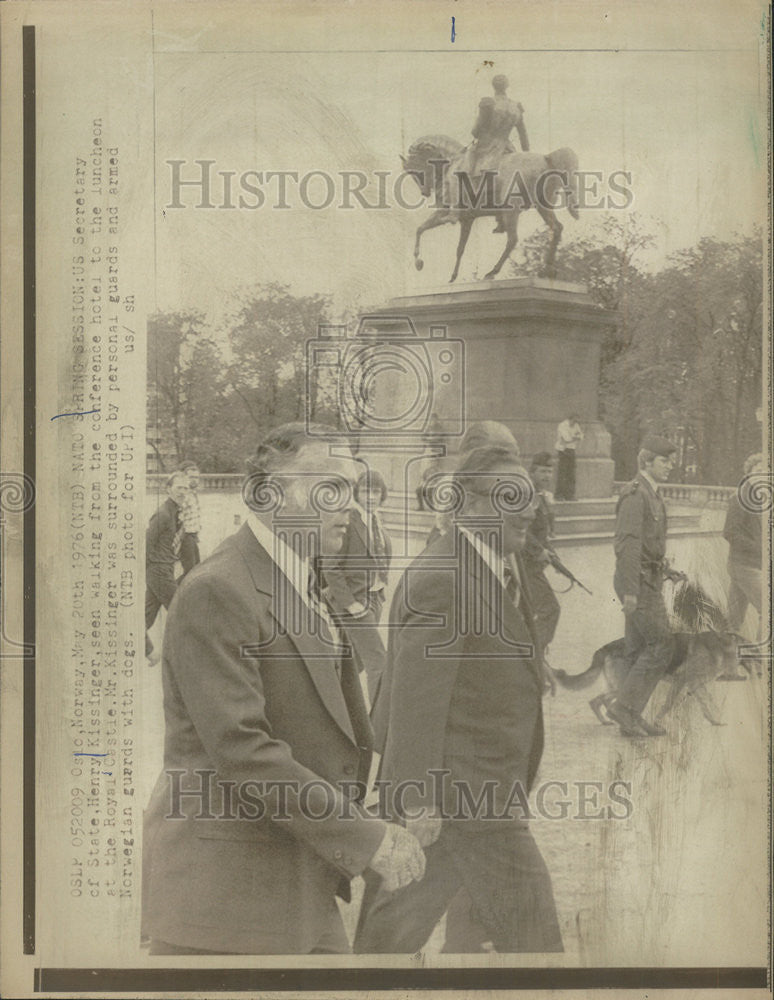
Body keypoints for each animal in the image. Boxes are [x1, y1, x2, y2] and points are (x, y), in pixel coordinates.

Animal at [556, 632, 748, 728]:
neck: (719, 646)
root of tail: (606, 647)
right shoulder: (682, 682)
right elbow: (668, 705)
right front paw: (657, 722)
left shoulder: (696, 685)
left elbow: (707, 704)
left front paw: (715, 721)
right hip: (626, 685)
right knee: (601, 700)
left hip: (619, 686)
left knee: (598, 700)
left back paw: (606, 721)